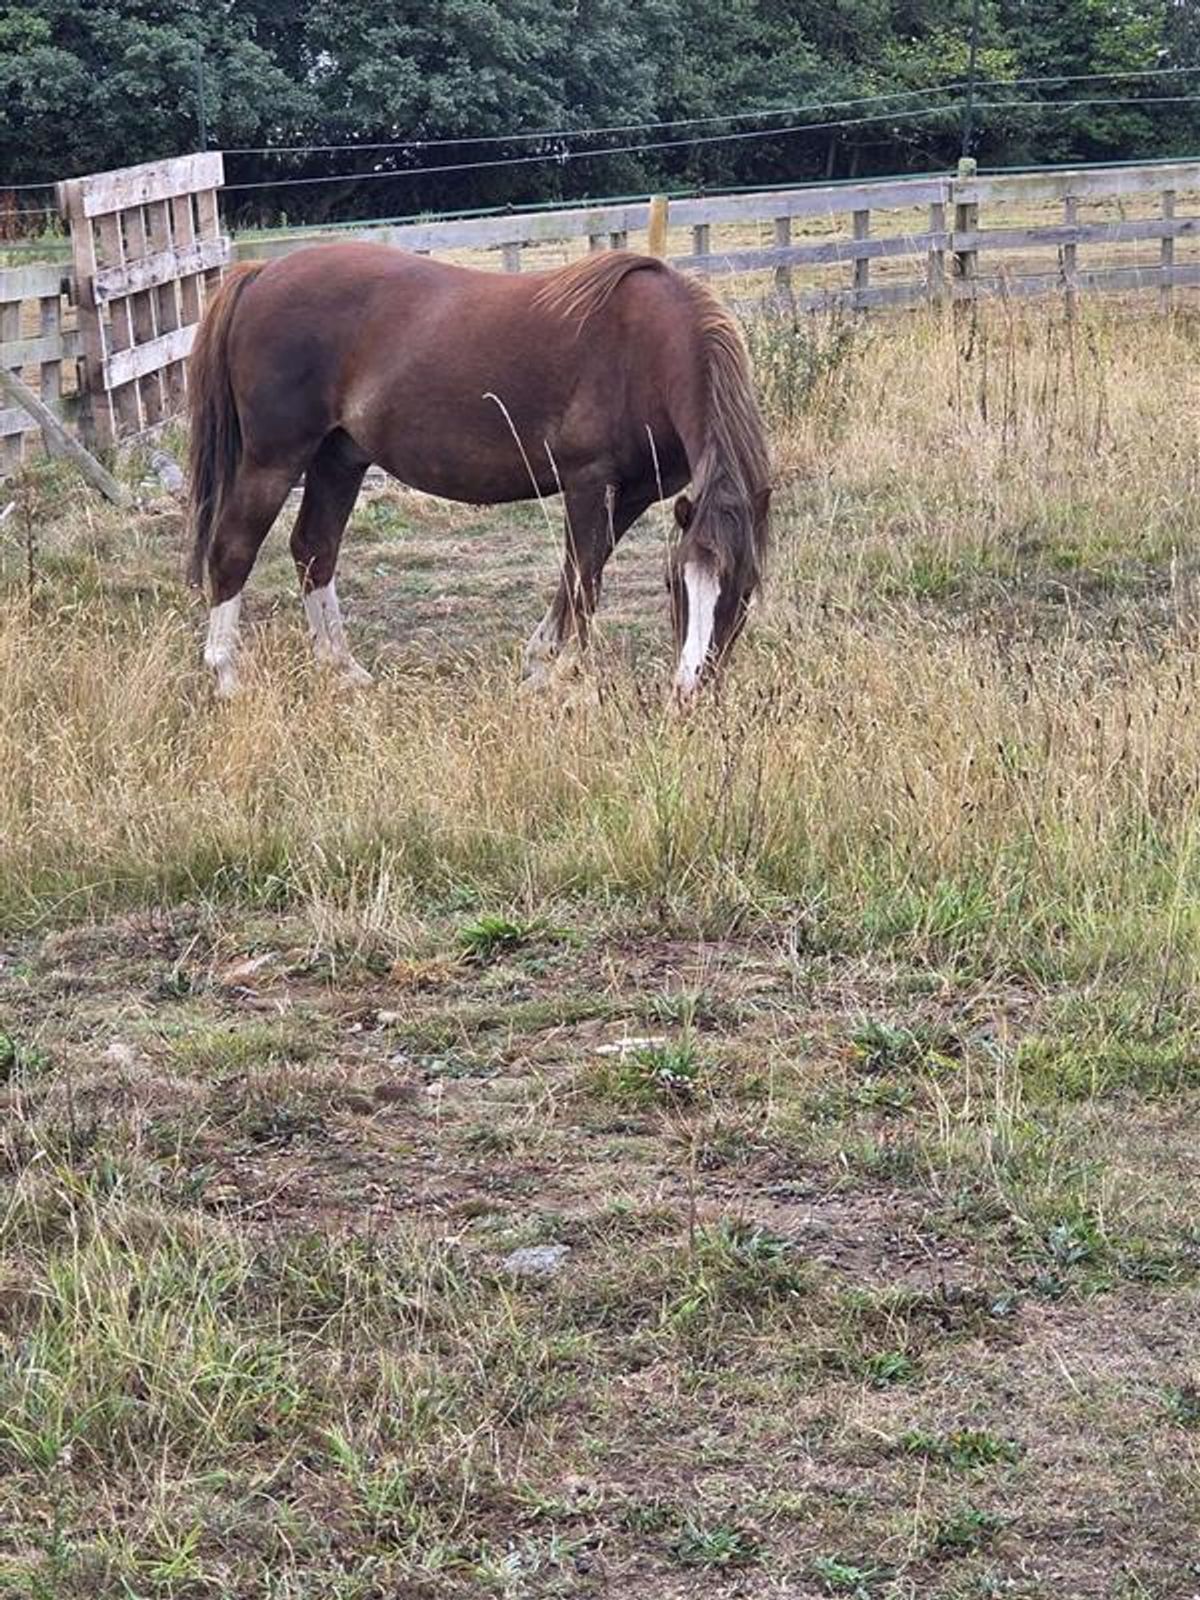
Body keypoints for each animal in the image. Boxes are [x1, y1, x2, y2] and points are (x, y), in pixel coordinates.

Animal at [187, 243, 771, 700]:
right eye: (676, 585)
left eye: (744, 589)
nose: (691, 692)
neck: (645, 347)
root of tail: (261, 272)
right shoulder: (588, 482)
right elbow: (585, 579)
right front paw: (569, 676)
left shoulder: (632, 493)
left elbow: (579, 571)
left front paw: (541, 664)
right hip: (274, 459)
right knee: (233, 549)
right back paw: (227, 677)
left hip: (339, 458)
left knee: (314, 548)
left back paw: (343, 668)